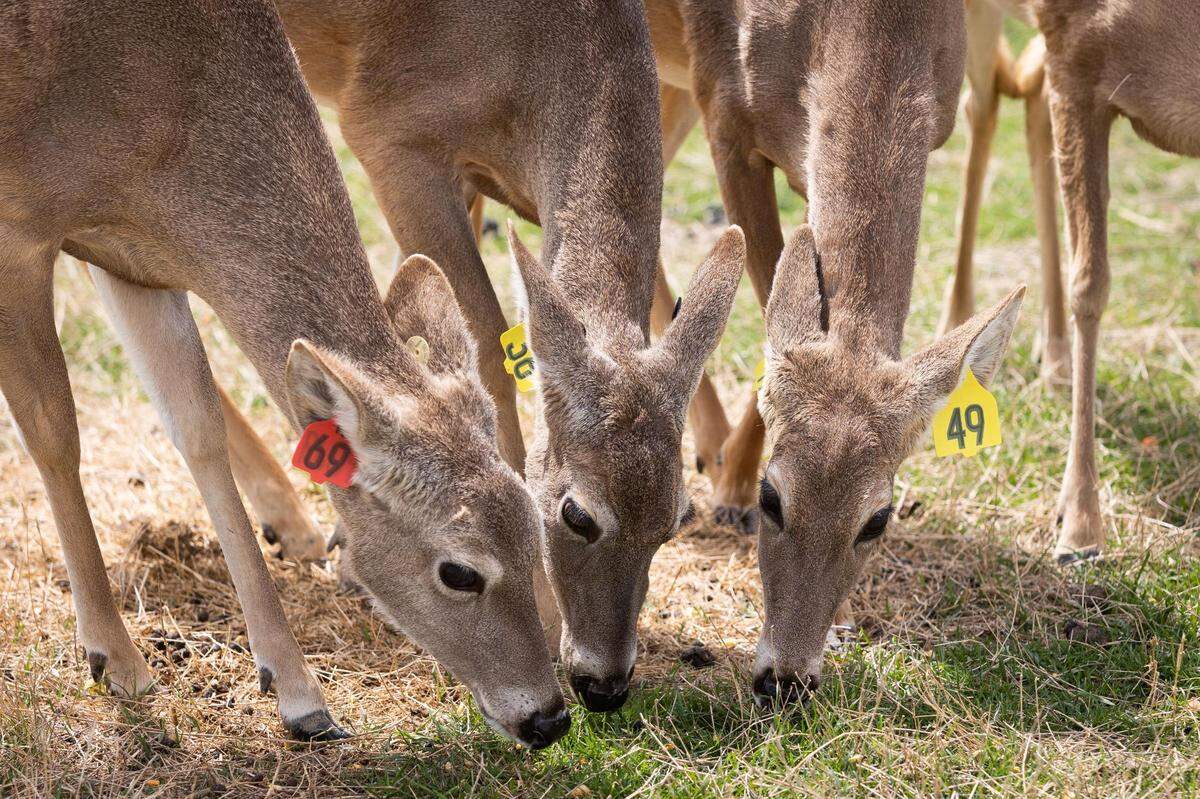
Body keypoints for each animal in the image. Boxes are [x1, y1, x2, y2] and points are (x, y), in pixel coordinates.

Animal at [0, 0, 571, 749]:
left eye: (536, 528)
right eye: (459, 570)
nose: (550, 716)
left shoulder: (131, 255)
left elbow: (196, 431)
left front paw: (300, 694)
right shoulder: (19, 232)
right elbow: (54, 434)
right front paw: (115, 657)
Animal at [201, 0, 747, 713]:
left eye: (676, 518)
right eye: (575, 514)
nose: (605, 685)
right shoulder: (387, 133)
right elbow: (483, 336)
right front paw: (540, 613)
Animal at [642, 0, 1028, 705]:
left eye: (877, 520)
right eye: (773, 497)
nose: (785, 680)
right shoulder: (726, 113)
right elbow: (767, 285)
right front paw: (731, 489)